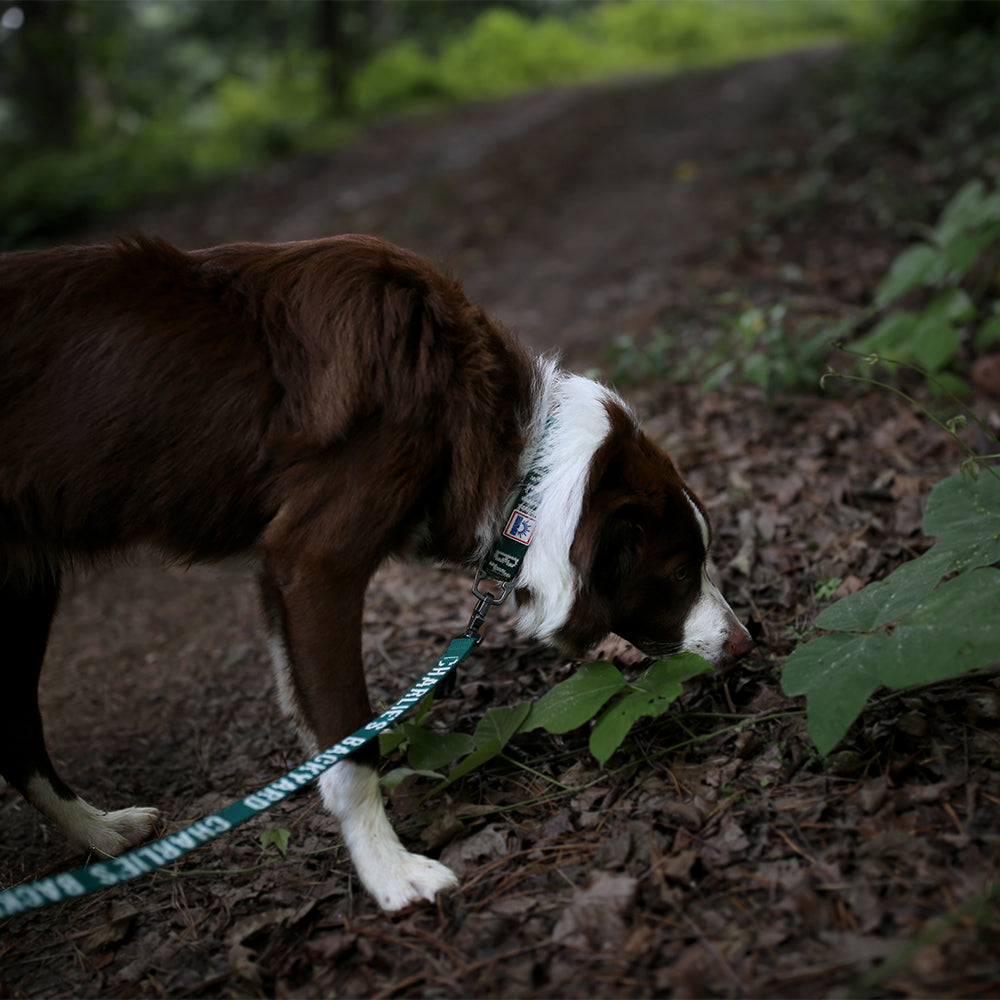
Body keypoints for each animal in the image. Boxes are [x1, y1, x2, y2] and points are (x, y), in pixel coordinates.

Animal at [0, 236, 752, 916]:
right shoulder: (312, 563)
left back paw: (101, 836)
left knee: (18, 736)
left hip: (27, 584)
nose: (749, 643)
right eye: (680, 570)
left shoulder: (277, 578)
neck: (503, 433)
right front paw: (390, 873)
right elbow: (353, 744)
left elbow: (322, 734)